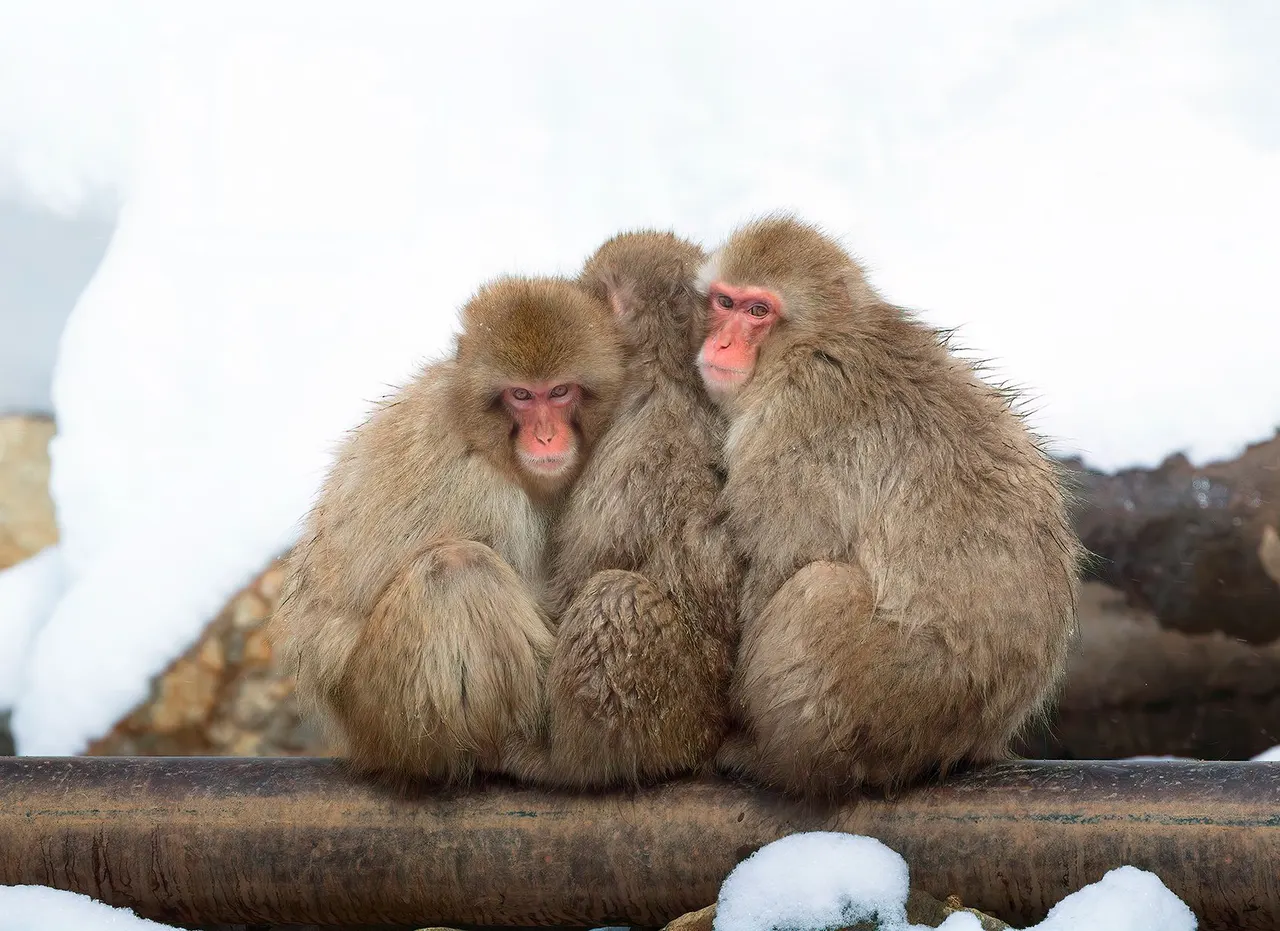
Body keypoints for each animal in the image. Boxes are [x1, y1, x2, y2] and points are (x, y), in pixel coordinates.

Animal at [269, 277, 625, 785]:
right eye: (521, 396)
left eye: (559, 392)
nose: (545, 437)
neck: (488, 443)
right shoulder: (485, 493)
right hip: (383, 709)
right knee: (457, 571)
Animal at [500, 231, 740, 789]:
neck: (669, 368)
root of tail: (703, 740)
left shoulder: (628, 444)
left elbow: (574, 587)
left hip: (669, 718)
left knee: (614, 597)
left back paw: (564, 765)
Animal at [696, 214, 1081, 799]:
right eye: (724, 302)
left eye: (758, 311)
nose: (719, 342)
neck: (817, 344)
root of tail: (977, 735)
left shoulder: (792, 425)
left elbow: (779, 564)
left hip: (895, 698)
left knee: (820, 590)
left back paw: (775, 761)